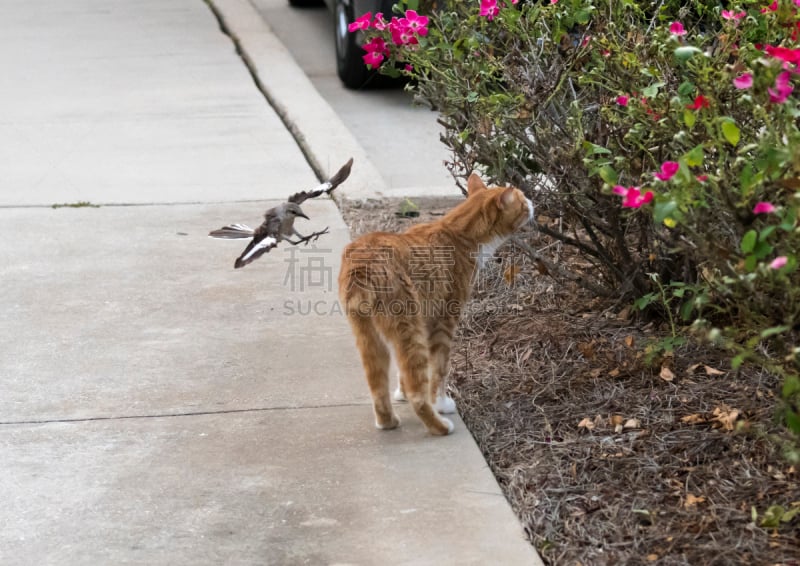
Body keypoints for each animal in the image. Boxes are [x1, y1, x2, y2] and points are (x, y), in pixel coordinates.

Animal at [338, 175, 532, 438]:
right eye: (522, 200)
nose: (532, 202)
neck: (461, 233)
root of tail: (363, 265)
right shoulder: (443, 322)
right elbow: (439, 369)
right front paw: (441, 403)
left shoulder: (425, 320)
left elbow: (402, 374)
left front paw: (399, 393)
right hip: (409, 326)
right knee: (417, 391)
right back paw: (439, 425)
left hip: (370, 335)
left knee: (377, 385)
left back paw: (387, 422)